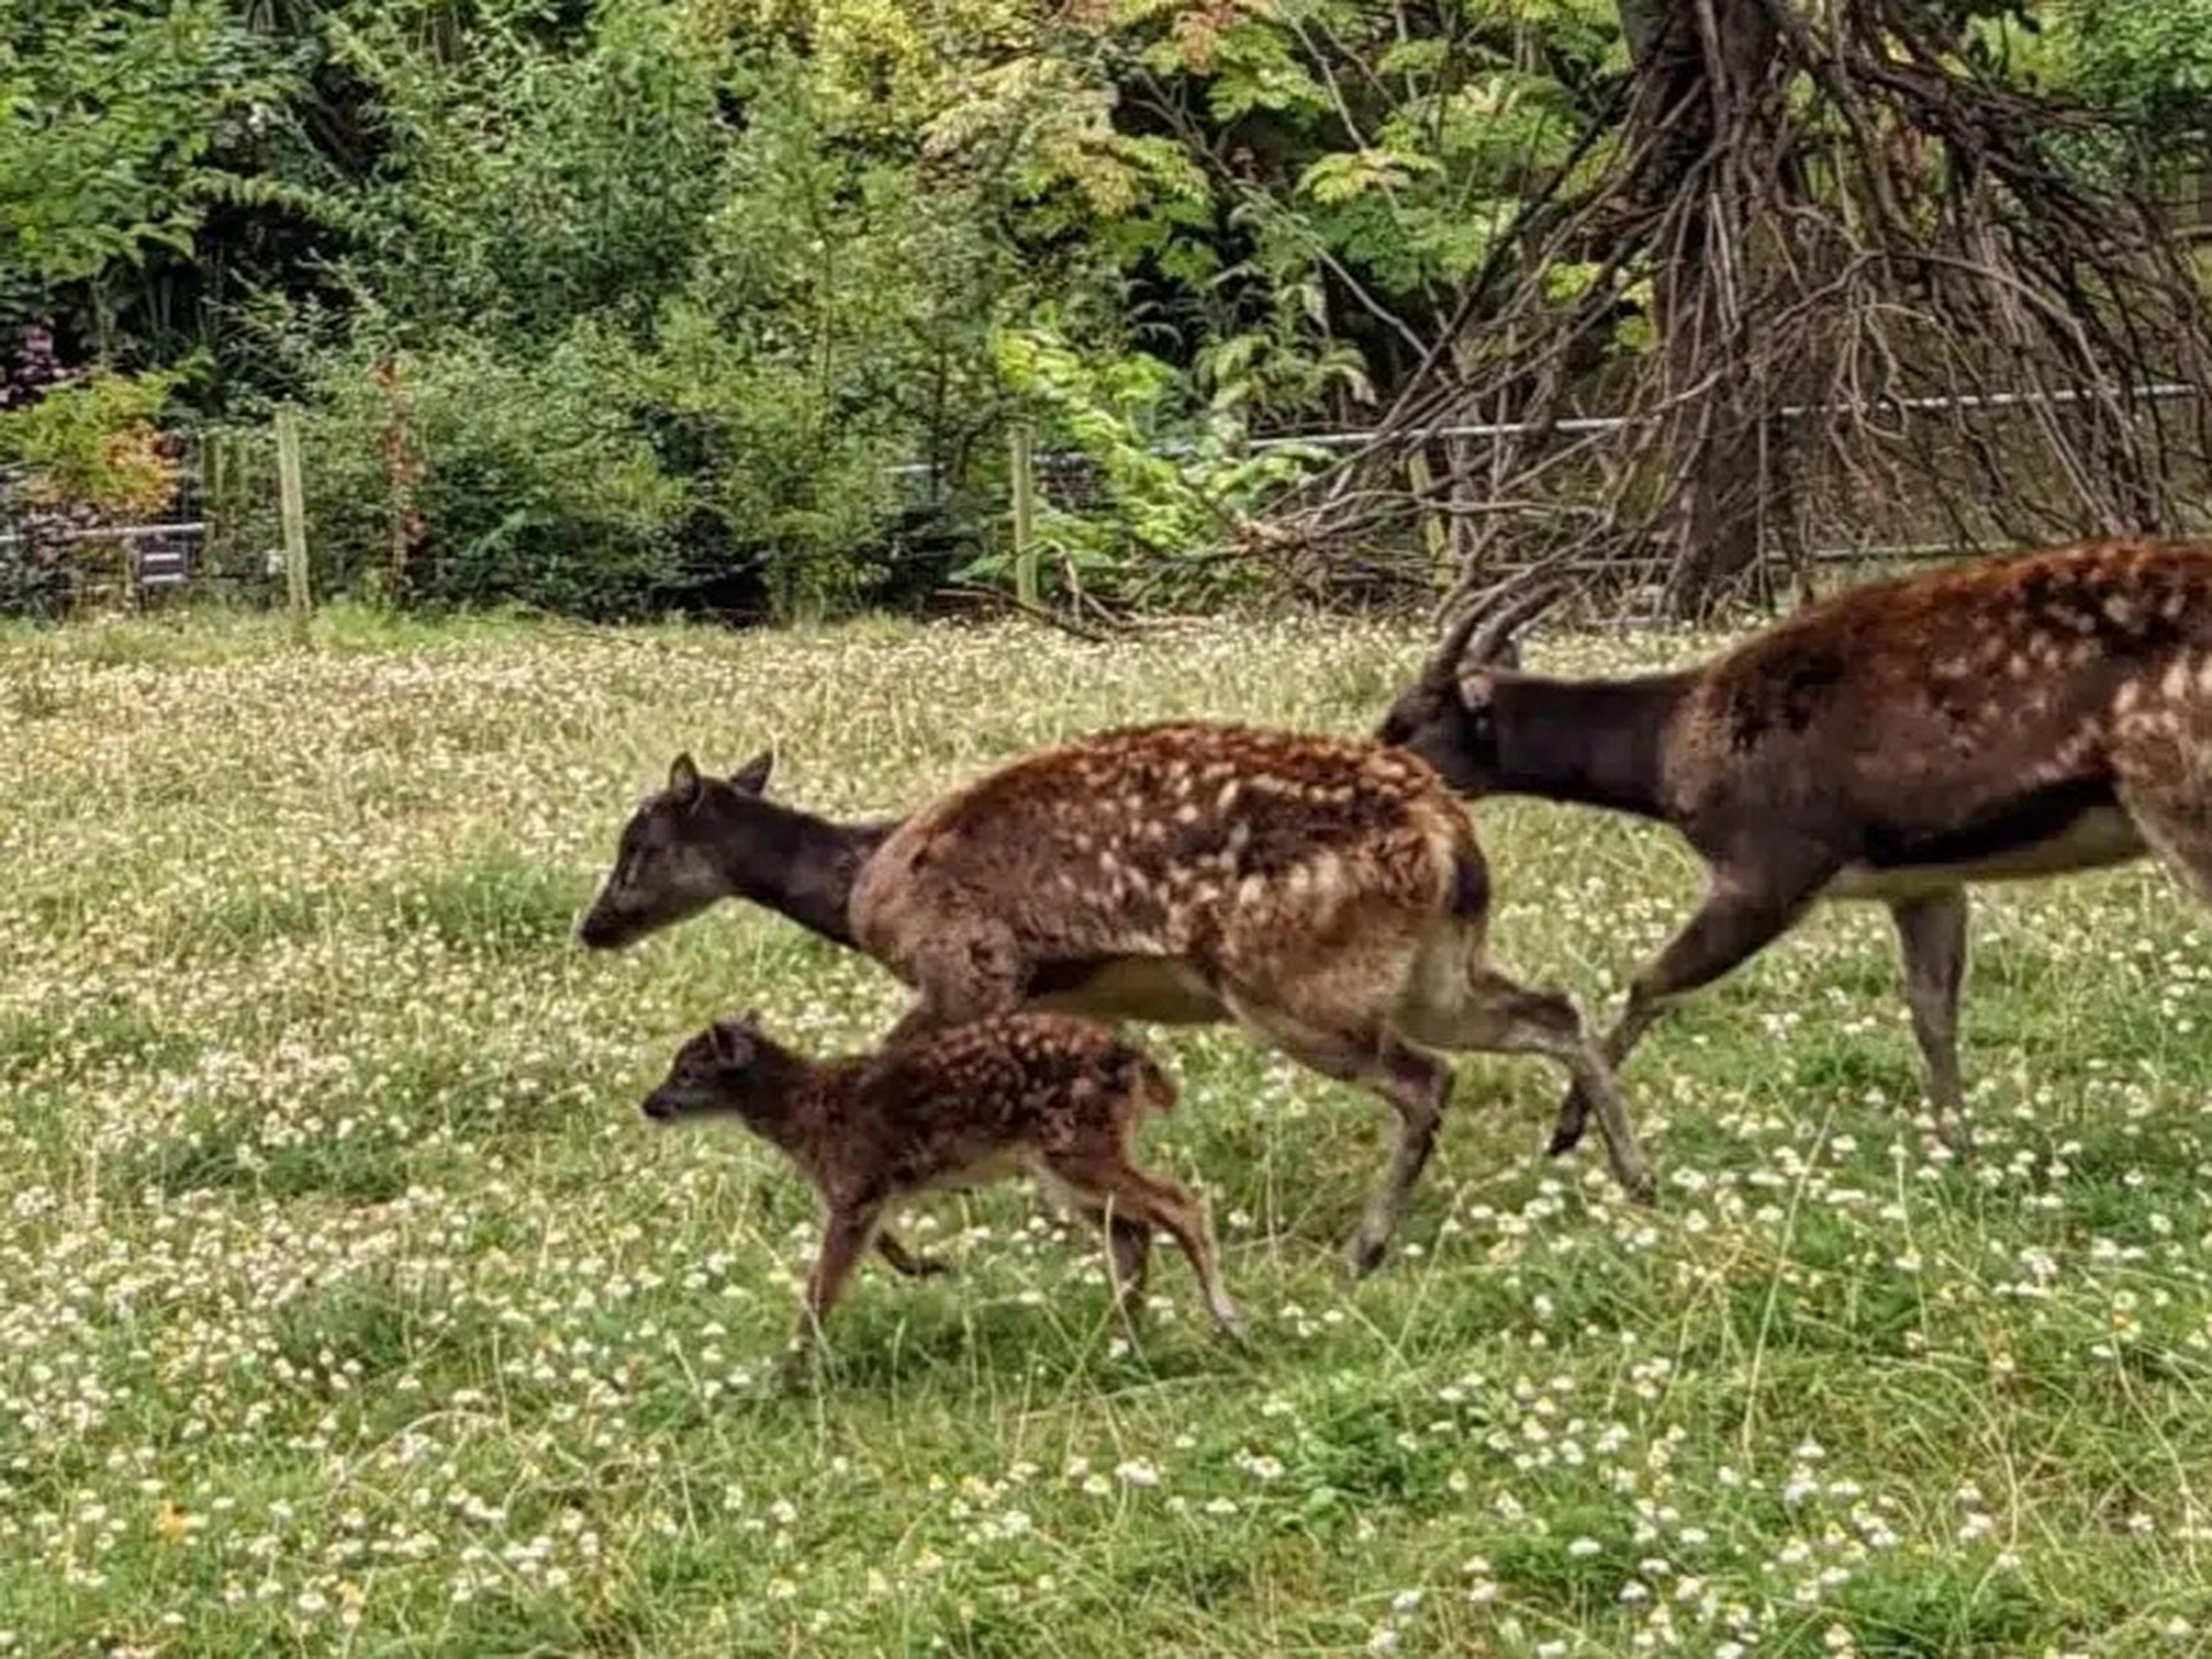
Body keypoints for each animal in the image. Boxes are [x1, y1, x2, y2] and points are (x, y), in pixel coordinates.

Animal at [575, 719, 1656, 1279]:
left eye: (636, 845)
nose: (592, 925)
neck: (860, 887)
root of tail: (1451, 836)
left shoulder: (968, 964)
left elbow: (877, 1081)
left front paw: (913, 1255)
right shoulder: (1078, 1003)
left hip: (1289, 978)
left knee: (1426, 1079)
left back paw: (1368, 1244)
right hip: (1432, 968)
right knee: (1554, 1010)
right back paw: (1628, 1171)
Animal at [638, 1007, 1242, 1370]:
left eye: (688, 1073)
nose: (649, 1103)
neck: (805, 1112)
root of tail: (1132, 1060)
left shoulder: (855, 1184)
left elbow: (822, 1285)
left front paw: (791, 1368)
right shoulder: (866, 1191)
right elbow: (885, 1249)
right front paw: (931, 1266)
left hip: (1076, 1146)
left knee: (1177, 1202)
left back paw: (1225, 1319)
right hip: (1065, 1162)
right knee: (1133, 1230)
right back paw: (1123, 1339)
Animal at [1373, 536, 2212, 1162]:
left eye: (1413, 717)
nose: (1371, 758)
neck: (1668, 756)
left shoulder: (1771, 858)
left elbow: (1652, 982)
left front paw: (1568, 1131)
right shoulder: (1923, 878)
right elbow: (1932, 1009)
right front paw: (1959, 1148)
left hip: (2177, 794)